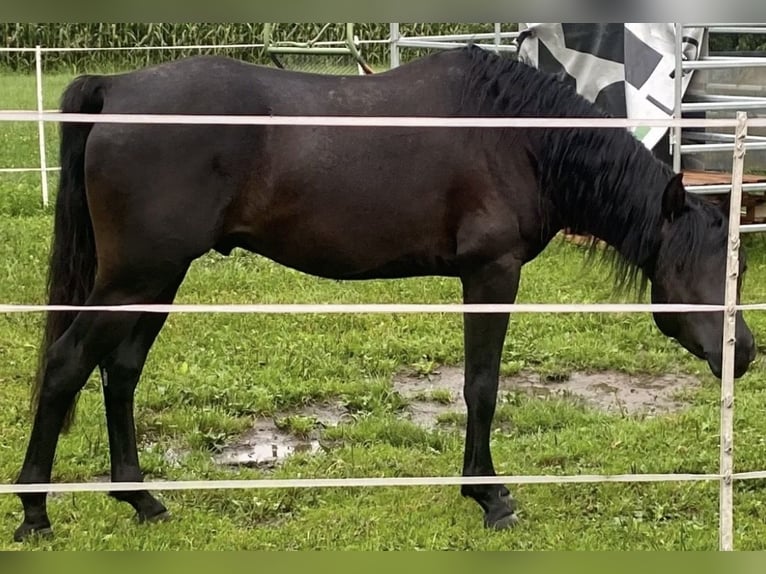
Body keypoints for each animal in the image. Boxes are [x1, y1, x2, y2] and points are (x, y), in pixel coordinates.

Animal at [12, 45, 756, 542]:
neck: (516, 136)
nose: (744, 353)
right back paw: (34, 512)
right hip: (135, 279)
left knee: (120, 371)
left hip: (155, 280)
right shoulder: (492, 273)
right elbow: (482, 385)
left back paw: (140, 499)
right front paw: (490, 496)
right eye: (705, 269)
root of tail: (119, 88)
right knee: (68, 364)